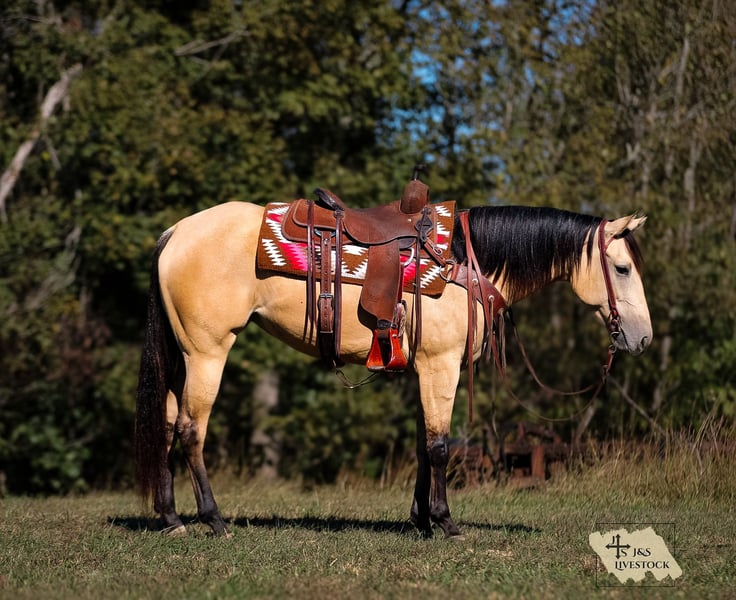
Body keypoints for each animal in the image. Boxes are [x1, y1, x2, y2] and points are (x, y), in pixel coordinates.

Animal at [134, 201, 652, 538]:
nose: (643, 338)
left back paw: (171, 519)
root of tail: (176, 232)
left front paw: (420, 519)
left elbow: (424, 445)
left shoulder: (424, 370)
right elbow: (440, 446)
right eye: (622, 269)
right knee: (191, 430)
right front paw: (446, 522)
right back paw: (213, 520)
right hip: (207, 352)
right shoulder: (442, 366)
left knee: (166, 424)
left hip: (182, 356)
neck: (465, 265)